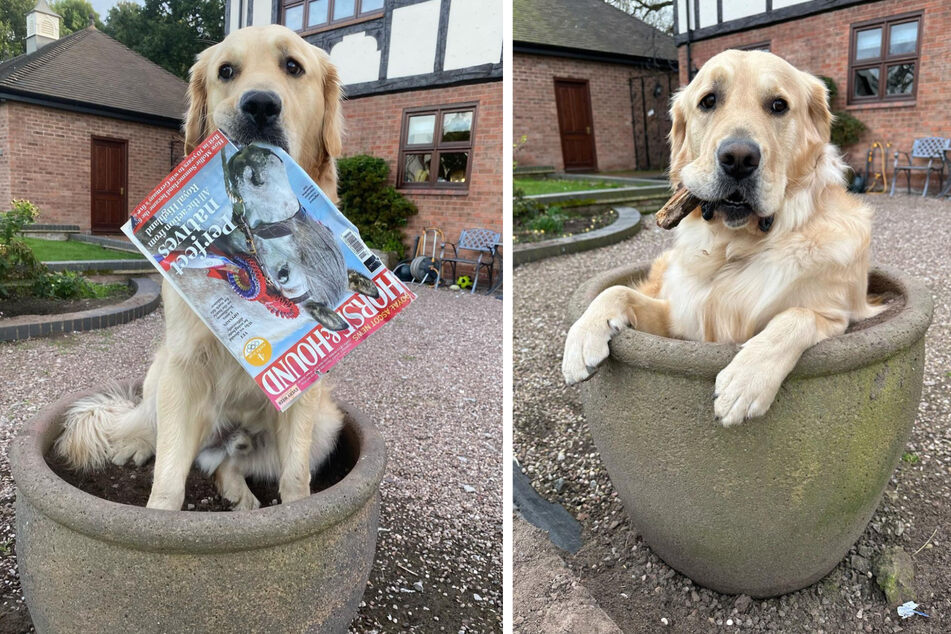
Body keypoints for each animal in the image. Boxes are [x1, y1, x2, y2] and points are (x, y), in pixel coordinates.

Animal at [54, 25, 346, 508]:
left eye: (293, 66)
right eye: (226, 71)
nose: (259, 105)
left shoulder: (307, 389)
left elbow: (295, 477)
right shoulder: (184, 366)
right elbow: (169, 476)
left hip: (327, 423)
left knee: (228, 465)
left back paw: (243, 497)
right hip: (162, 376)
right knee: (152, 429)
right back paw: (137, 444)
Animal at [560, 49, 880, 424]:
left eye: (779, 105)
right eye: (709, 101)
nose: (739, 158)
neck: (734, 248)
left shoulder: (839, 315)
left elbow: (797, 315)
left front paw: (746, 380)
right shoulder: (678, 320)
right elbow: (617, 291)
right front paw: (582, 337)